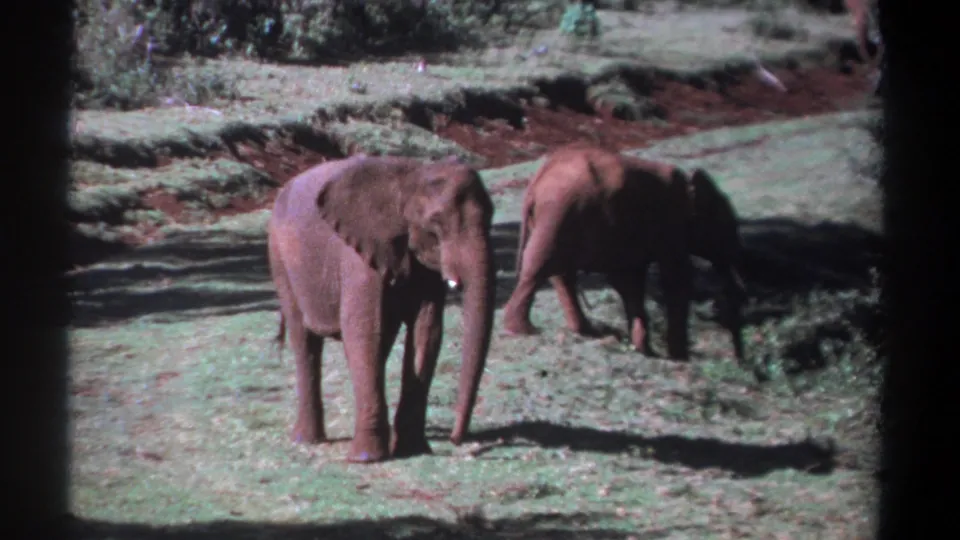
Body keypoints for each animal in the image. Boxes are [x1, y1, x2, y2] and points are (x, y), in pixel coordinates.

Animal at [267, 154, 497, 463]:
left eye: (491, 216)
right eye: (435, 223)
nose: (456, 439)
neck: (412, 175)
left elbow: (427, 331)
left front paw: (413, 450)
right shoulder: (357, 255)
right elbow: (363, 329)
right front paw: (366, 459)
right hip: (279, 259)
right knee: (305, 341)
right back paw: (307, 440)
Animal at [500, 144, 747, 363]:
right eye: (726, 226)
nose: (740, 361)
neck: (688, 184)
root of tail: (535, 184)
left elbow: (630, 283)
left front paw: (644, 350)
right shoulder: (670, 225)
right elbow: (675, 281)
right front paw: (679, 358)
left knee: (558, 273)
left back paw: (586, 331)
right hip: (558, 213)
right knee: (541, 266)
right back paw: (523, 329)